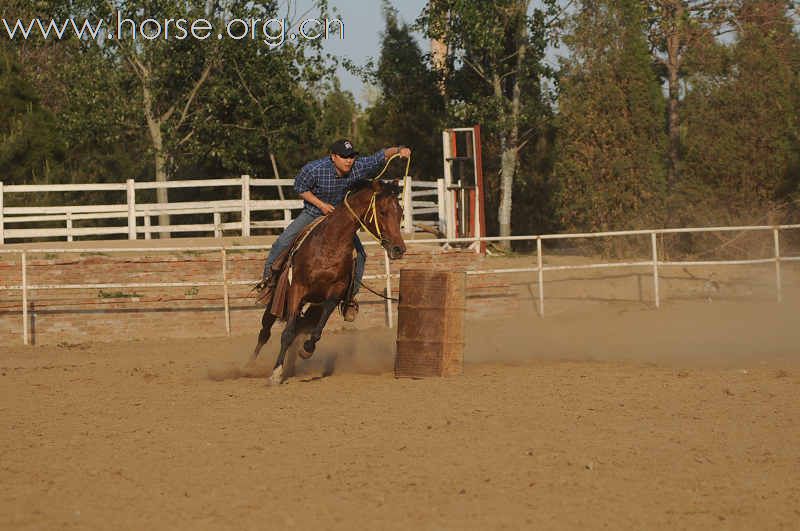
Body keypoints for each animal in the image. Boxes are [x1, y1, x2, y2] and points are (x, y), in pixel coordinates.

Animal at [248, 181, 406, 384]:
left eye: (401, 213)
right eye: (383, 212)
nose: (399, 249)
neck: (329, 245)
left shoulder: (333, 293)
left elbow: (316, 329)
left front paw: (307, 349)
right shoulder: (297, 289)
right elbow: (287, 333)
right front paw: (276, 373)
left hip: (312, 305)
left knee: (300, 327)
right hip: (278, 298)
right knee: (265, 330)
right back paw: (250, 365)